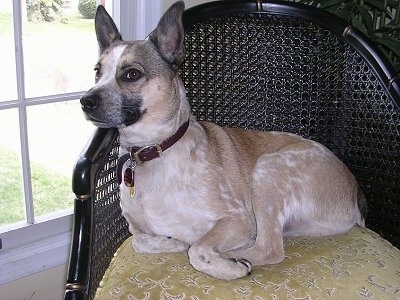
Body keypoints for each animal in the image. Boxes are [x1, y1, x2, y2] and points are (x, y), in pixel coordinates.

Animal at [79, 1, 368, 280]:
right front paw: (170, 242)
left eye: (131, 74)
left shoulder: (237, 218)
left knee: (269, 248)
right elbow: (139, 241)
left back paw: (238, 260)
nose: (85, 101)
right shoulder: (136, 229)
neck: (154, 149)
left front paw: (219, 261)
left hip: (269, 170)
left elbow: (197, 250)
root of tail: (354, 193)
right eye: (97, 72)